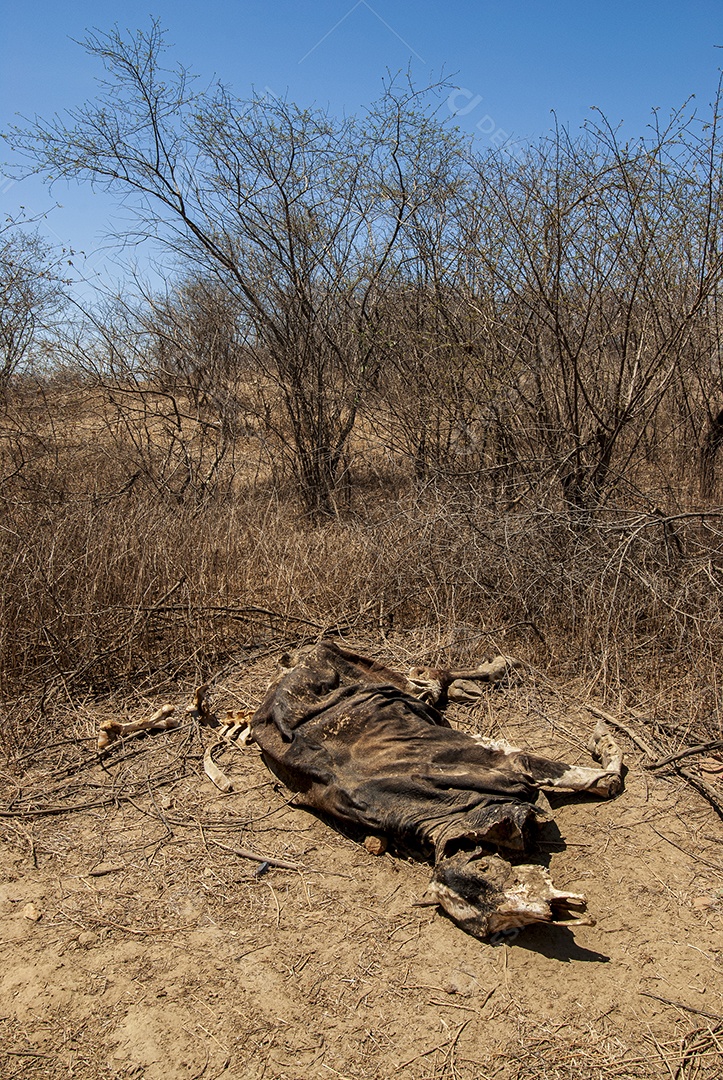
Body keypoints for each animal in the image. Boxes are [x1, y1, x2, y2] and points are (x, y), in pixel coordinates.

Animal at [249, 640, 624, 941]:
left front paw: (604, 741)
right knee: (424, 684)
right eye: (485, 924)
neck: (458, 814)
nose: (544, 912)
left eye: (485, 871)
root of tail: (291, 663)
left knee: (427, 677)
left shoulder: (509, 761)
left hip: (350, 665)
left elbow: (603, 780)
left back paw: (499, 666)